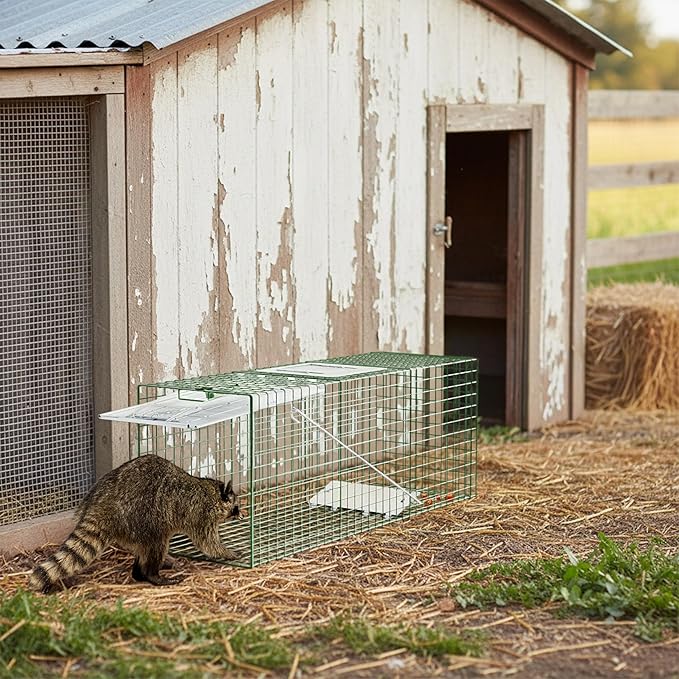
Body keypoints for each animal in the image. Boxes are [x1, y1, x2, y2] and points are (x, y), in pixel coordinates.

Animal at [30, 455, 240, 593]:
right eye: (236, 507)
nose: (241, 515)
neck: (213, 490)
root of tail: (104, 503)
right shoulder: (201, 514)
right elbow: (207, 542)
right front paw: (226, 552)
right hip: (143, 517)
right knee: (157, 544)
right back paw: (150, 574)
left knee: (144, 547)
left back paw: (139, 571)